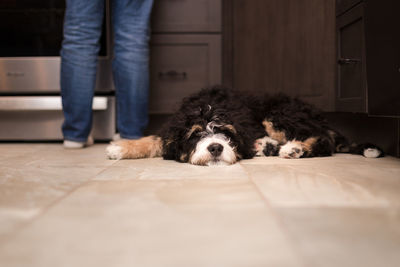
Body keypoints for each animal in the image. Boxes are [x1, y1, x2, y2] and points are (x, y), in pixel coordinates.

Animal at [106, 86, 384, 165]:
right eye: (196, 135)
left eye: (225, 132)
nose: (216, 148)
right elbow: (153, 140)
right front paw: (120, 148)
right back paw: (266, 146)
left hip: (278, 114)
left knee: (323, 140)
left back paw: (294, 149)